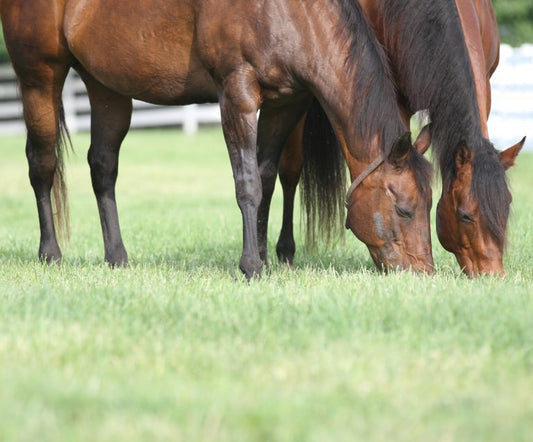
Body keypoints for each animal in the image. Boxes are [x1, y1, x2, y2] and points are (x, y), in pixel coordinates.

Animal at [0, 0, 432, 278]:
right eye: (404, 209)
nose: (424, 272)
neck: (288, 12)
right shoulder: (237, 94)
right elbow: (248, 183)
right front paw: (252, 267)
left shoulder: (284, 105)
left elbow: (267, 178)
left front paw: (264, 258)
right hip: (40, 76)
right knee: (42, 166)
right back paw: (51, 254)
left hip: (106, 88)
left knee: (103, 168)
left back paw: (117, 258)